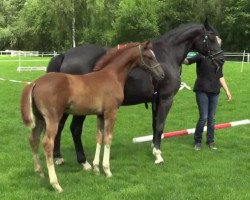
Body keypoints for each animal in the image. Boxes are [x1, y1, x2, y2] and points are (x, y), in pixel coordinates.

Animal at [20, 40, 165, 192]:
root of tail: (35, 83)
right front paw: (107, 170)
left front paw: (96, 168)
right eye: (149, 57)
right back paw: (56, 184)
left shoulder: (100, 114)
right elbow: (108, 138)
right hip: (52, 118)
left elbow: (99, 137)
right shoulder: (111, 112)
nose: (162, 74)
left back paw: (40, 172)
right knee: (47, 142)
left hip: (40, 118)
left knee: (33, 139)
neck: (112, 76)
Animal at [47, 20, 223, 167]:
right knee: (75, 129)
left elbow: (155, 125)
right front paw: (158, 155)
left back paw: (58, 157)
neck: (167, 55)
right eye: (211, 38)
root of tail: (65, 55)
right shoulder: (166, 98)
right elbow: (160, 125)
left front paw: (153, 147)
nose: (221, 59)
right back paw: (83, 162)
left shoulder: (155, 100)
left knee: (59, 126)